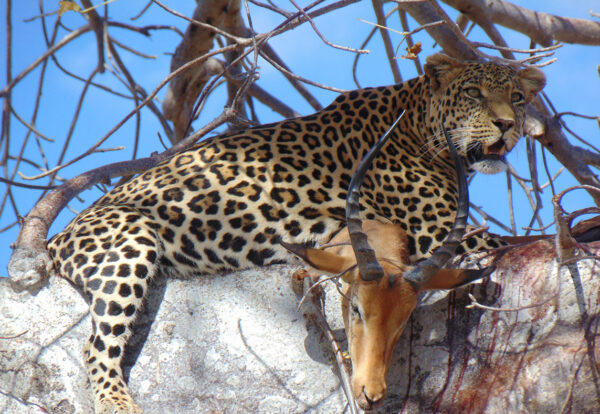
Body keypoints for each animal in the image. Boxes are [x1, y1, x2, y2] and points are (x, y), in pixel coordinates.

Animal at [44, 53, 548, 412]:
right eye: (476, 93)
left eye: (518, 98)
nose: (508, 125)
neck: (419, 124)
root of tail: (55, 239)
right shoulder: (442, 231)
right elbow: (525, 240)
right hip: (131, 242)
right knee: (96, 347)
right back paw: (118, 403)